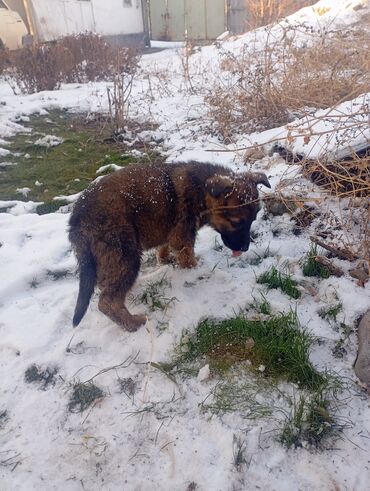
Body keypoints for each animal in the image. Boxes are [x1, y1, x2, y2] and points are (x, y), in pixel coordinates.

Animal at [69, 162, 270, 330]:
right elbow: (187, 257)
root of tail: (76, 220)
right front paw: (193, 272)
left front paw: (164, 260)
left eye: (253, 219)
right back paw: (133, 323)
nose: (244, 249)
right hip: (124, 253)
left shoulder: (170, 230)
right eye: (236, 222)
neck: (202, 191)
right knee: (107, 301)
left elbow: (164, 247)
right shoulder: (182, 235)